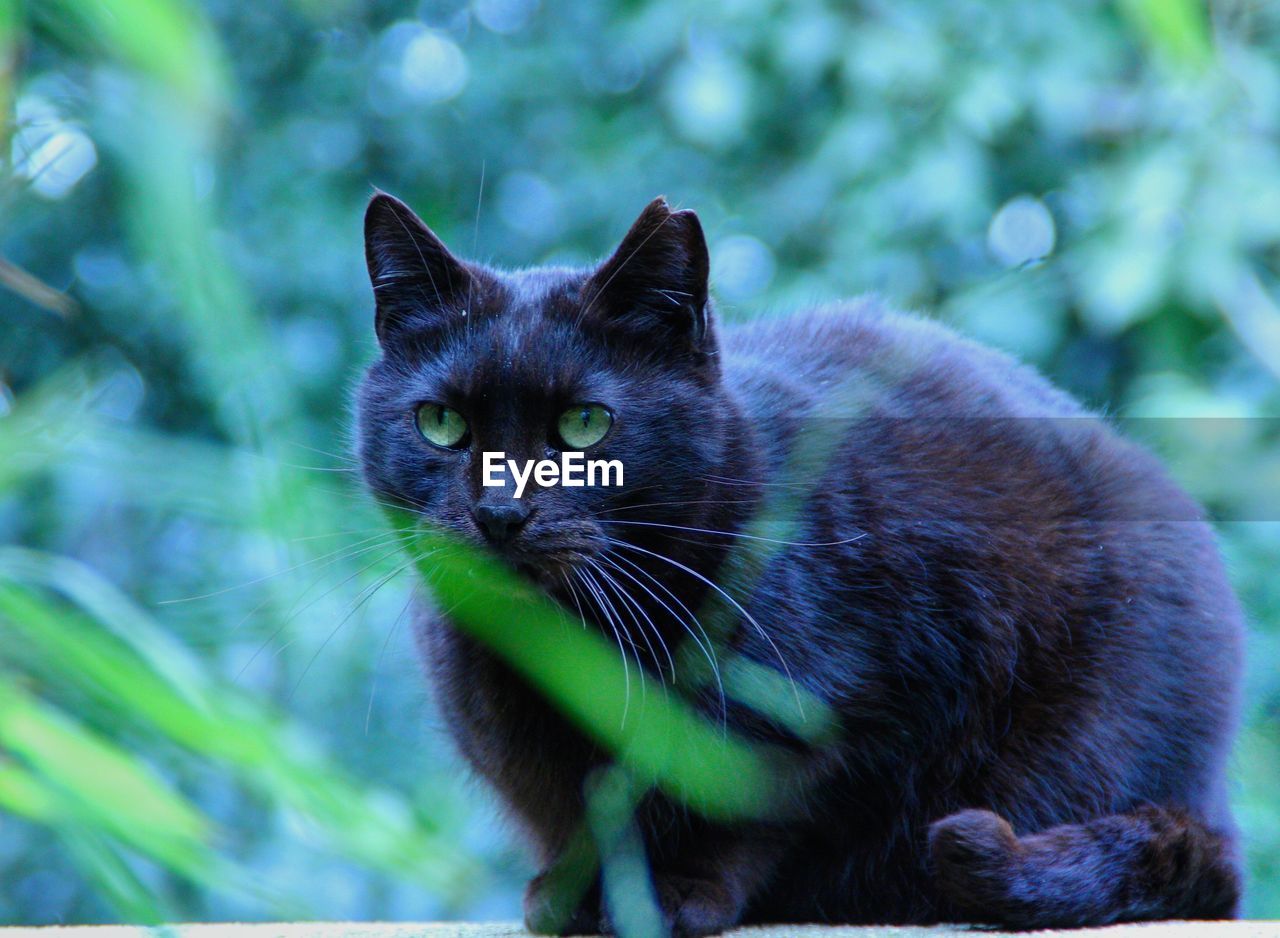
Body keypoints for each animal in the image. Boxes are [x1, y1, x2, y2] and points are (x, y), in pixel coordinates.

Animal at [355, 190, 1244, 931]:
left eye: (585, 425)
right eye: (440, 423)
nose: (500, 512)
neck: (578, 642)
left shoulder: (834, 712)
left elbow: (752, 809)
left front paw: (676, 892)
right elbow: (575, 812)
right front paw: (571, 894)